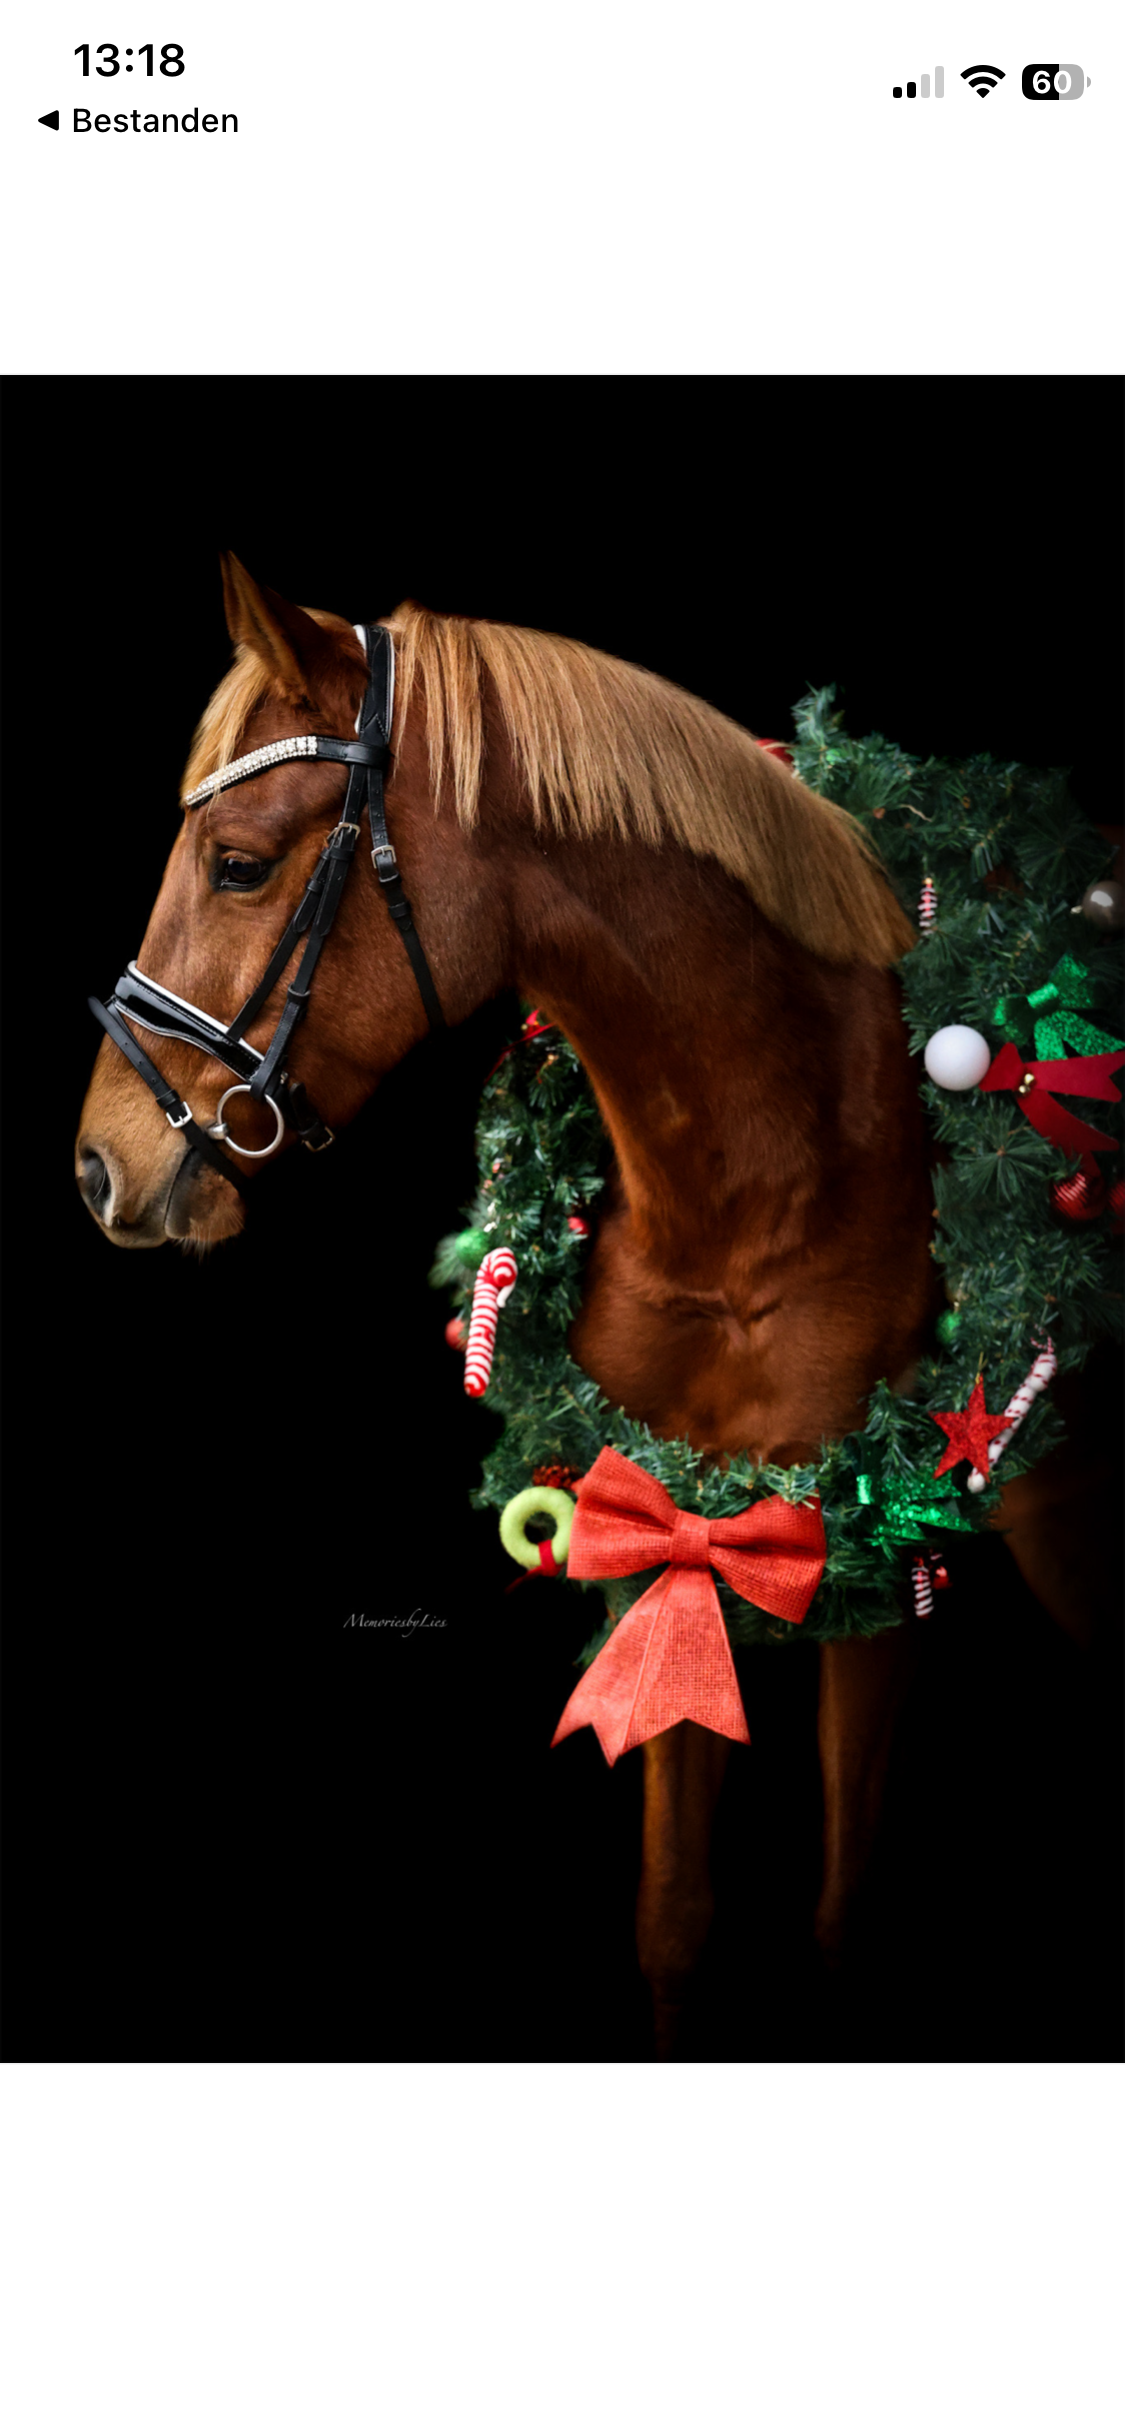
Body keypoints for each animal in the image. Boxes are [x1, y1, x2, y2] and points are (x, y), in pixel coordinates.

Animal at [76, 556, 1112, 2057]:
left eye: (239, 865)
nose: (100, 1163)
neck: (776, 1170)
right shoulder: (667, 1525)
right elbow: (672, 1918)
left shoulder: (869, 1564)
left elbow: (844, 1915)